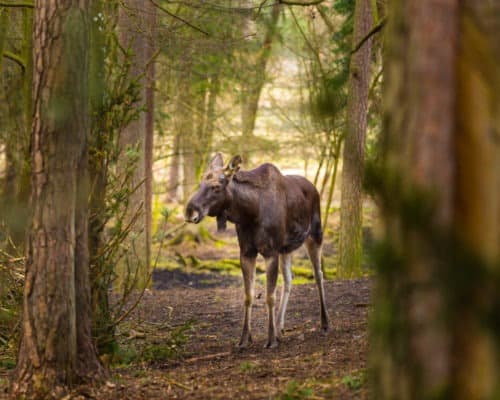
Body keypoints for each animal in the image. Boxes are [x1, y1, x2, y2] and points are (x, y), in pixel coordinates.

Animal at [184, 153, 328, 346]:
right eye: (200, 183)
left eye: (216, 186)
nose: (189, 212)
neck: (250, 212)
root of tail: (314, 188)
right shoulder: (247, 252)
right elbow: (248, 296)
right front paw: (245, 338)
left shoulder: (271, 252)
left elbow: (269, 296)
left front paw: (270, 339)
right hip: (286, 248)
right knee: (289, 279)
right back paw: (280, 327)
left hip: (315, 235)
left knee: (318, 275)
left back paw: (324, 323)